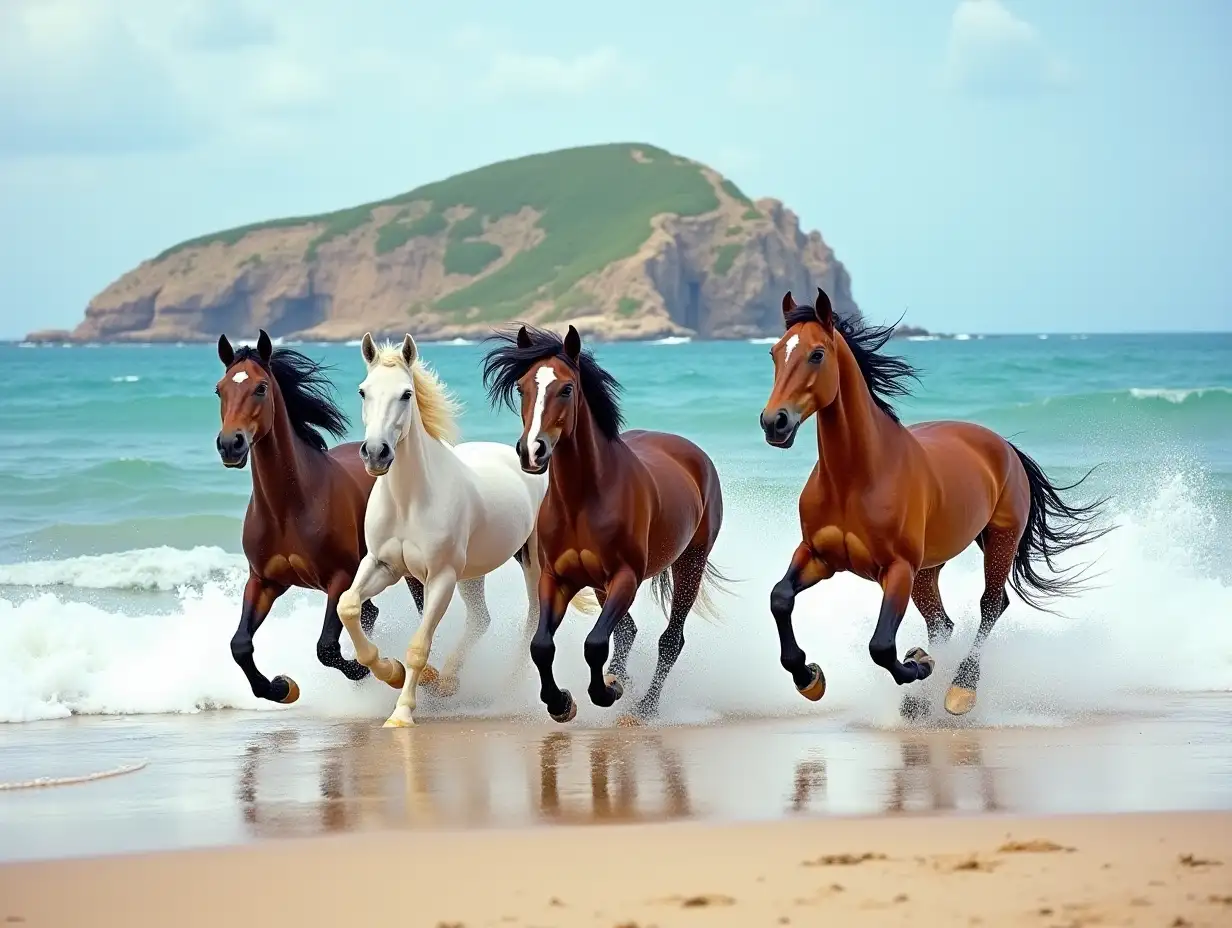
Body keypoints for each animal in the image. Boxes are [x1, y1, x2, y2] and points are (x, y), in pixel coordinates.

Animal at [211, 332, 423, 700]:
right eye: (219, 389)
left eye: (261, 387)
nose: (230, 445)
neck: (289, 509)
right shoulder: (263, 581)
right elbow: (240, 645)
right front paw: (281, 687)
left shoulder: (340, 577)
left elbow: (327, 648)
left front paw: (381, 670)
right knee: (370, 612)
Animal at [335, 332, 588, 724]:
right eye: (364, 391)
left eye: (406, 394)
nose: (376, 453)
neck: (410, 500)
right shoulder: (382, 564)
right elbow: (347, 606)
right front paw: (391, 672)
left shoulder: (440, 576)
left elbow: (419, 646)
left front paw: (401, 713)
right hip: (472, 572)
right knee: (481, 620)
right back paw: (449, 682)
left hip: (531, 561)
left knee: (532, 619)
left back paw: (511, 690)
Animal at [480, 325, 729, 724]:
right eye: (521, 388)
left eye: (566, 388)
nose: (532, 451)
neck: (583, 500)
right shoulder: (557, 578)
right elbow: (541, 645)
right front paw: (561, 703)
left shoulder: (625, 577)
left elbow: (595, 643)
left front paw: (606, 692)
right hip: (599, 585)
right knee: (628, 631)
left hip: (690, 563)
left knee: (670, 640)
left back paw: (644, 707)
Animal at [753, 289, 1113, 714]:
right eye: (774, 352)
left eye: (817, 354)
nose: (774, 422)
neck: (855, 479)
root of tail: (1004, 445)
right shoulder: (817, 556)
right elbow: (780, 598)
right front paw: (808, 677)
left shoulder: (897, 570)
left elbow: (881, 646)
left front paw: (919, 663)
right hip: (929, 569)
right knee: (943, 622)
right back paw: (919, 702)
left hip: (999, 541)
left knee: (991, 605)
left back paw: (960, 690)